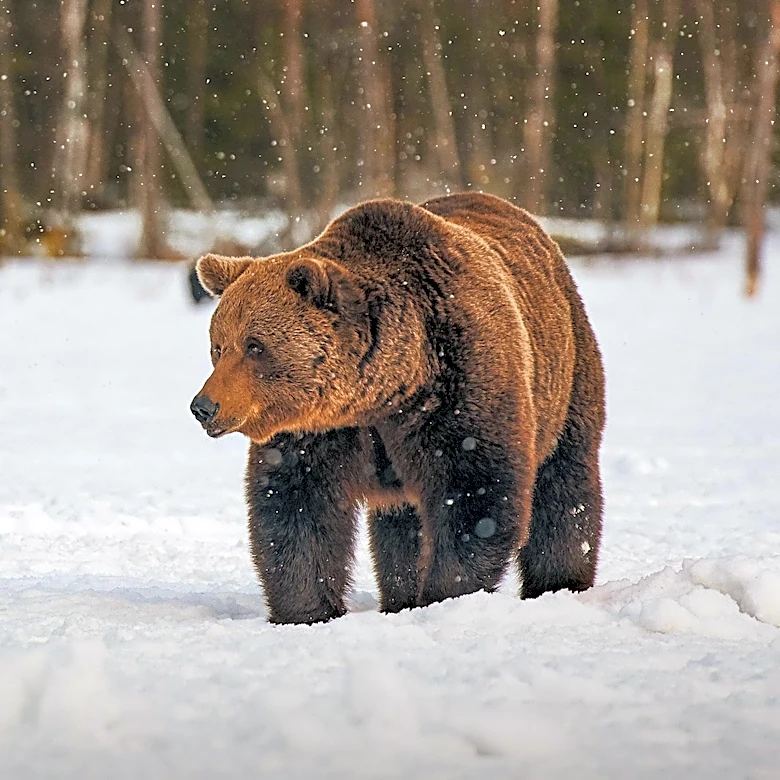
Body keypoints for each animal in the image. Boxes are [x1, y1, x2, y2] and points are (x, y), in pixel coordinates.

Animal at [191, 192, 605, 625]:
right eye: (218, 345)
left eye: (255, 346)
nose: (204, 406)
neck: (388, 389)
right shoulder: (319, 430)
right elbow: (297, 507)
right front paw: (306, 610)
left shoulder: (460, 388)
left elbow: (477, 497)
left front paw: (446, 594)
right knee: (400, 525)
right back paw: (398, 597)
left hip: (566, 371)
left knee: (565, 485)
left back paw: (558, 582)